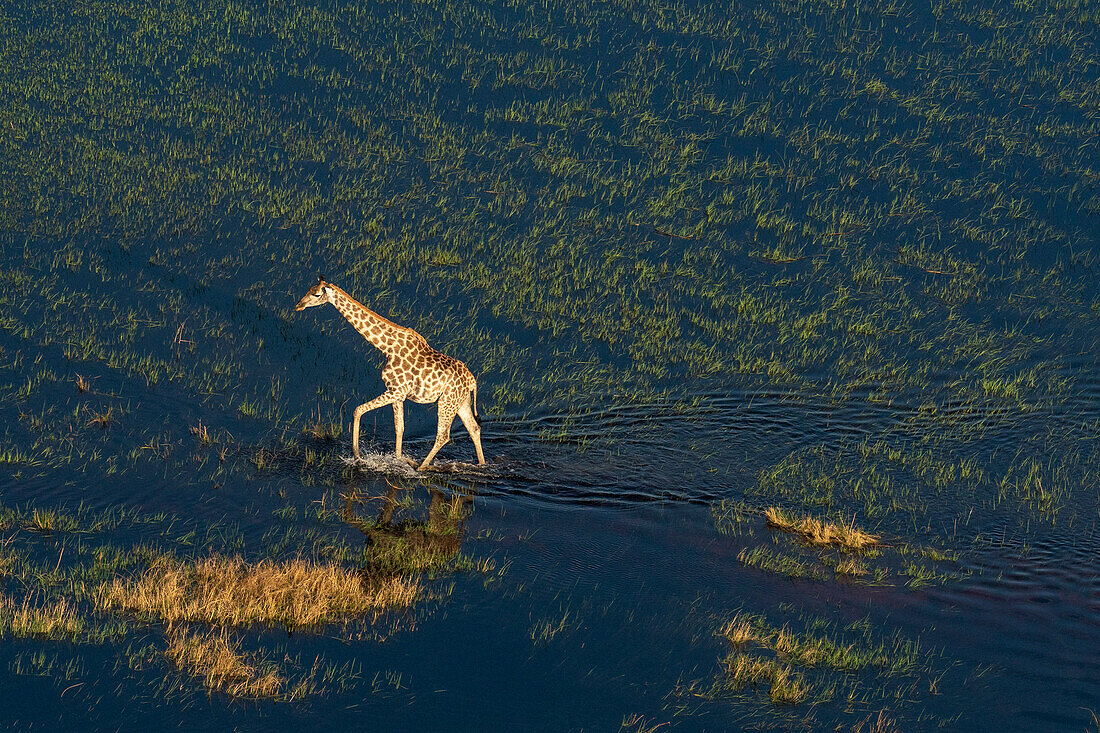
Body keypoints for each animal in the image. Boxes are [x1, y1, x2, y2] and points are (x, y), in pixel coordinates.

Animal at [294, 274, 484, 468]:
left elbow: (358, 410)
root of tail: (472, 381)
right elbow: (399, 428)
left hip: (447, 402)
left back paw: (420, 467)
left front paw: (357, 456)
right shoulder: (398, 394)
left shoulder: (395, 391)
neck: (387, 347)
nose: (298, 305)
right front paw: (398, 459)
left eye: (317, 294)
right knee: (474, 428)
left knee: (443, 436)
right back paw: (481, 464)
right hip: (460, 402)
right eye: (308, 289)